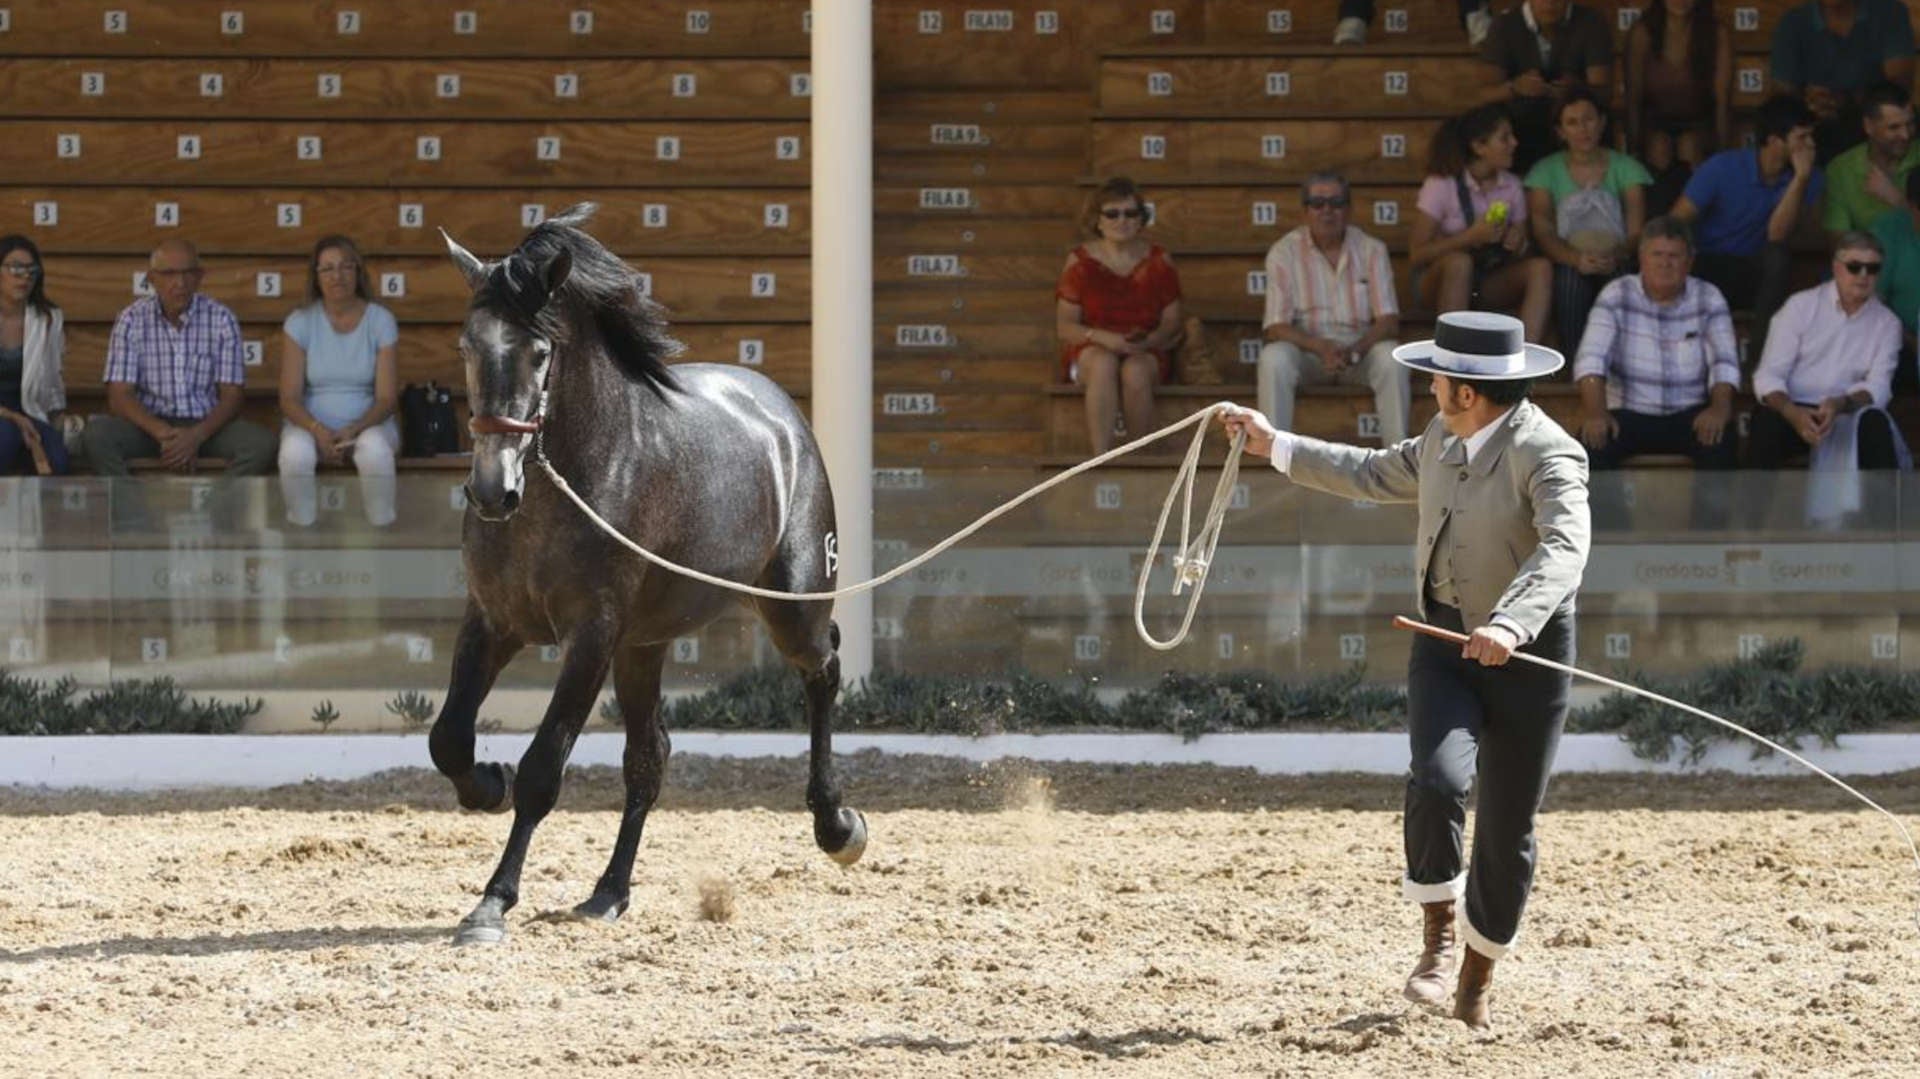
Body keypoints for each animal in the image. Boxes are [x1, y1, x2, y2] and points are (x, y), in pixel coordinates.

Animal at [428, 203, 867, 945]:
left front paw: (492, 903)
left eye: (539, 353)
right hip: (645, 646)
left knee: (824, 669)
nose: (492, 492)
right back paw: (608, 891)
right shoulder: (492, 622)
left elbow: (543, 768)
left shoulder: (591, 637)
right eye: (464, 345)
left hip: (790, 606)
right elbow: (448, 739)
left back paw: (838, 827)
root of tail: (780, 413)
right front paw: (485, 782)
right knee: (649, 758)